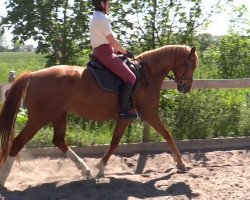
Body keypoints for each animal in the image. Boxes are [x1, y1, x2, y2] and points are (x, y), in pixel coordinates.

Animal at [0, 44, 199, 185]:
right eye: (191, 64)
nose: (186, 88)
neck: (147, 74)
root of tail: (33, 75)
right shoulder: (149, 114)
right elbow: (167, 134)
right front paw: (181, 163)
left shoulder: (125, 118)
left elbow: (115, 141)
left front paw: (100, 168)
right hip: (39, 118)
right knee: (17, 143)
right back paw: (3, 179)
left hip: (59, 115)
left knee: (59, 141)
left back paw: (85, 170)